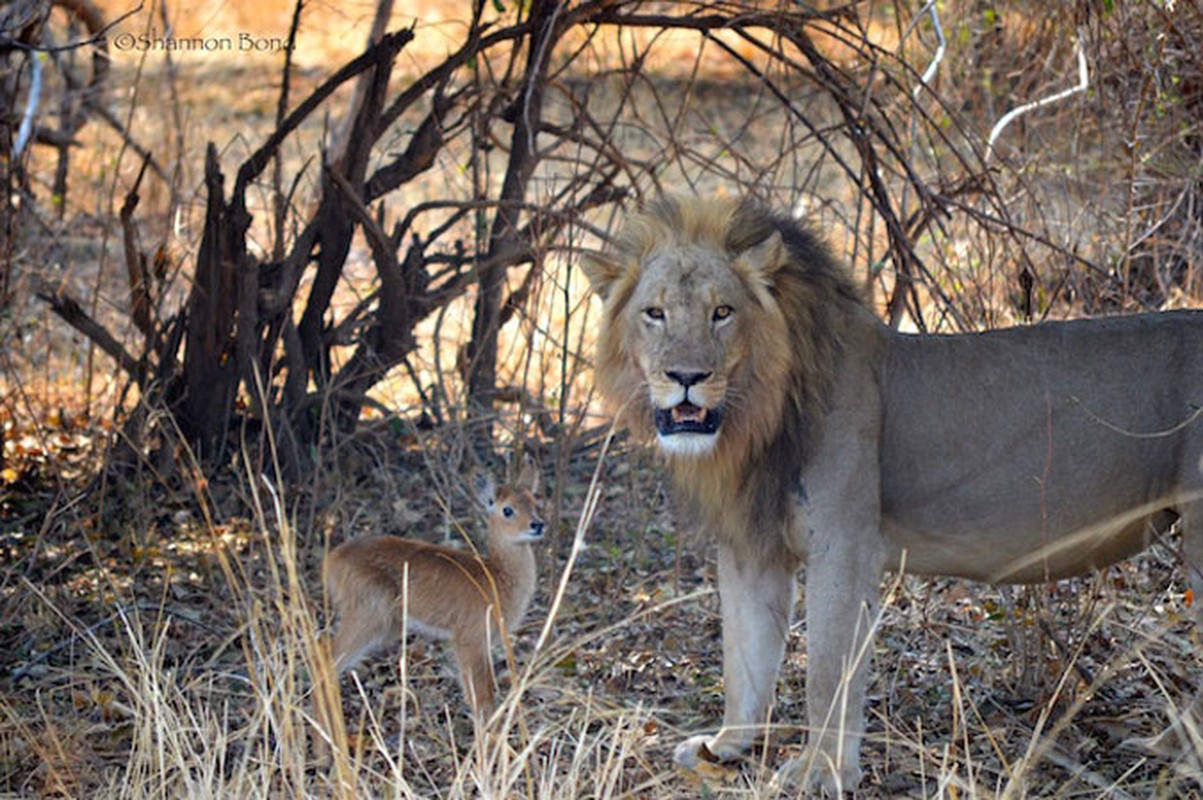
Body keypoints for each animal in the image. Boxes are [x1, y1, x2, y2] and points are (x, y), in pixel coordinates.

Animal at [322, 461, 543, 716]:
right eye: (507, 509)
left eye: (534, 502)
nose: (537, 525)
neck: (496, 577)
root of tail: (333, 559)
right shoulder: (469, 640)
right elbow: (481, 700)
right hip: (366, 617)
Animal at [579, 196, 1203, 789]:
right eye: (654, 313)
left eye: (722, 312)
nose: (686, 377)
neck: (753, 421)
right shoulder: (750, 549)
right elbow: (745, 657)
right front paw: (727, 746)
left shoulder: (844, 544)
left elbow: (827, 668)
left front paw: (821, 772)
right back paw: (1169, 747)